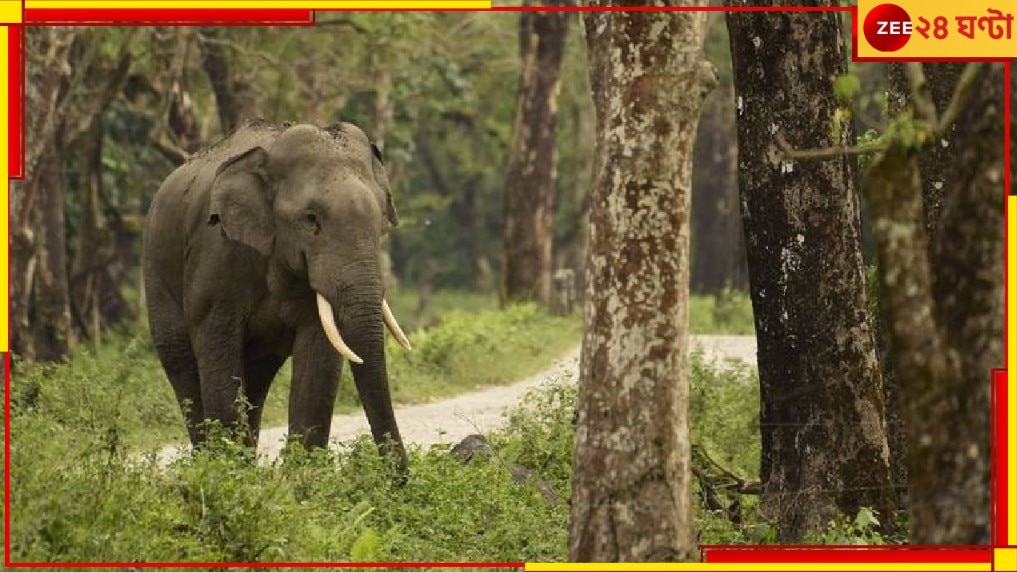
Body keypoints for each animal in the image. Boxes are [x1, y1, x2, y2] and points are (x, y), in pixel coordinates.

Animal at [142, 117, 408, 472]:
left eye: (380, 219)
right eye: (311, 219)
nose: (401, 479)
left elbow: (319, 357)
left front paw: (301, 477)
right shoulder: (216, 255)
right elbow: (216, 346)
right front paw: (228, 474)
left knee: (257, 376)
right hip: (156, 270)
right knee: (180, 360)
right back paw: (208, 463)